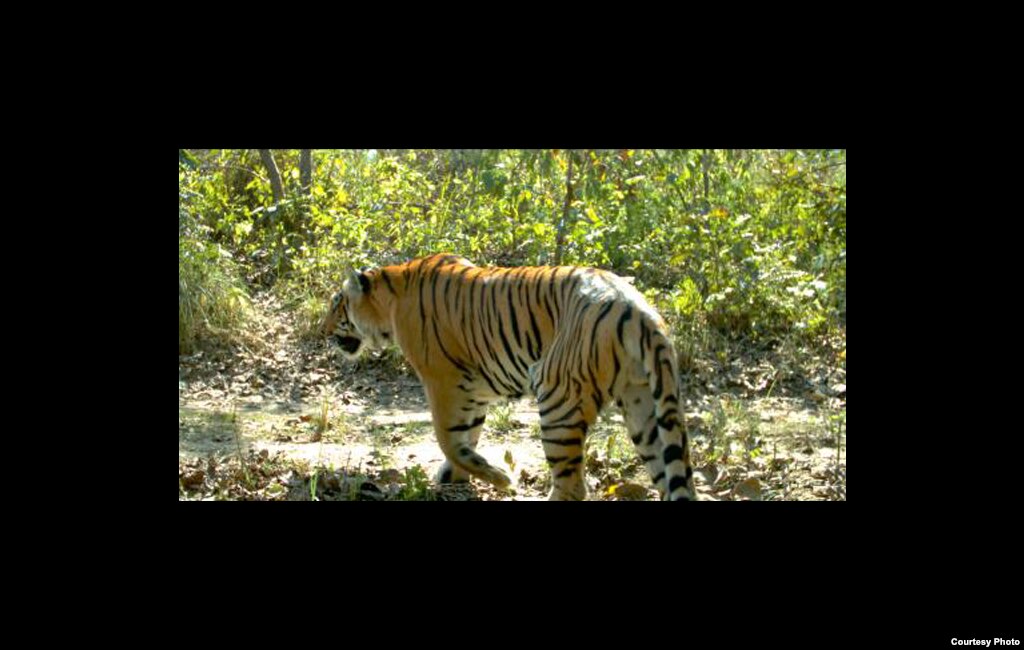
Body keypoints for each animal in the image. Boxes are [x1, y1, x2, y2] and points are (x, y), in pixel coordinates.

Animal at [317, 251, 696, 501]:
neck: (392, 291)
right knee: (674, 477)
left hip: (558, 396)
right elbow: (466, 436)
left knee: (572, 486)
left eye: (337, 304)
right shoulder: (471, 388)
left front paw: (499, 479)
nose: (323, 330)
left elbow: (447, 437)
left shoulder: (443, 380)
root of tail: (636, 309)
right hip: (644, 406)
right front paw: (457, 476)